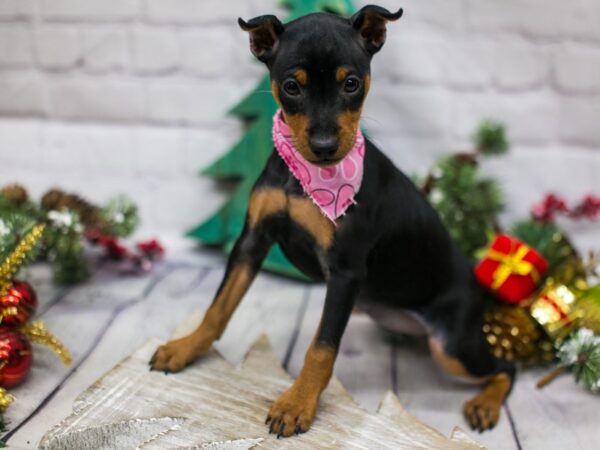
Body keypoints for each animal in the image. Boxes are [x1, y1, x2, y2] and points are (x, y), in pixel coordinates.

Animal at [151, 3, 516, 438]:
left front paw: (297, 403)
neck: (305, 180)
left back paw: (485, 405)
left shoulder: (344, 271)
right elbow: (219, 306)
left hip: (451, 345)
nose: (325, 148)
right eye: (292, 86)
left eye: (352, 84)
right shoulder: (252, 241)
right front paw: (185, 348)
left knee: (506, 367)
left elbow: (322, 345)